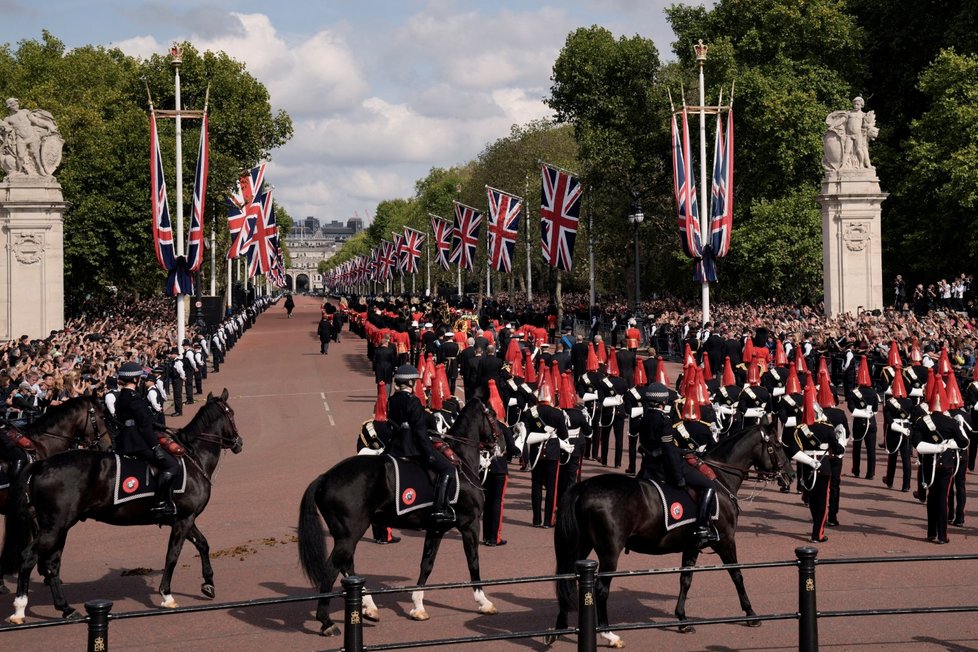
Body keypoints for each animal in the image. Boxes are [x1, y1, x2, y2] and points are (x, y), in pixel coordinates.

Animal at [0, 390, 243, 624]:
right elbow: (172, 555)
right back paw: (19, 609)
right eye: (231, 414)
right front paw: (167, 595)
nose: (239, 442)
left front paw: (208, 583)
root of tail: (42, 464)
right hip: (54, 527)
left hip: (59, 527)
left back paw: (66, 608)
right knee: (28, 557)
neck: (193, 458)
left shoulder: (184, 518)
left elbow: (203, 544)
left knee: (51, 563)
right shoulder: (184, 519)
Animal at [298, 398, 504, 636]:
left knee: (347, 567)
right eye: (492, 414)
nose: (502, 446)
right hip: (350, 535)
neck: (459, 460)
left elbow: (427, 564)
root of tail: (324, 477)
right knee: (331, 569)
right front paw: (484, 602)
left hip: (345, 536)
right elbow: (473, 562)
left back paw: (368, 607)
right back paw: (327, 621)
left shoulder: (436, 528)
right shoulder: (469, 525)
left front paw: (418, 606)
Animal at [548, 422, 792, 648]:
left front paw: (682, 619)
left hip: (581, 546)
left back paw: (559, 628)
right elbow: (737, 575)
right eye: (778, 445)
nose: (790, 475)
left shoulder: (692, 545)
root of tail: (583, 487)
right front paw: (751, 613)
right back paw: (608, 634)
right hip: (609, 552)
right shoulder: (725, 541)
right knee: (601, 589)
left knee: (566, 577)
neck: (720, 479)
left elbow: (686, 579)